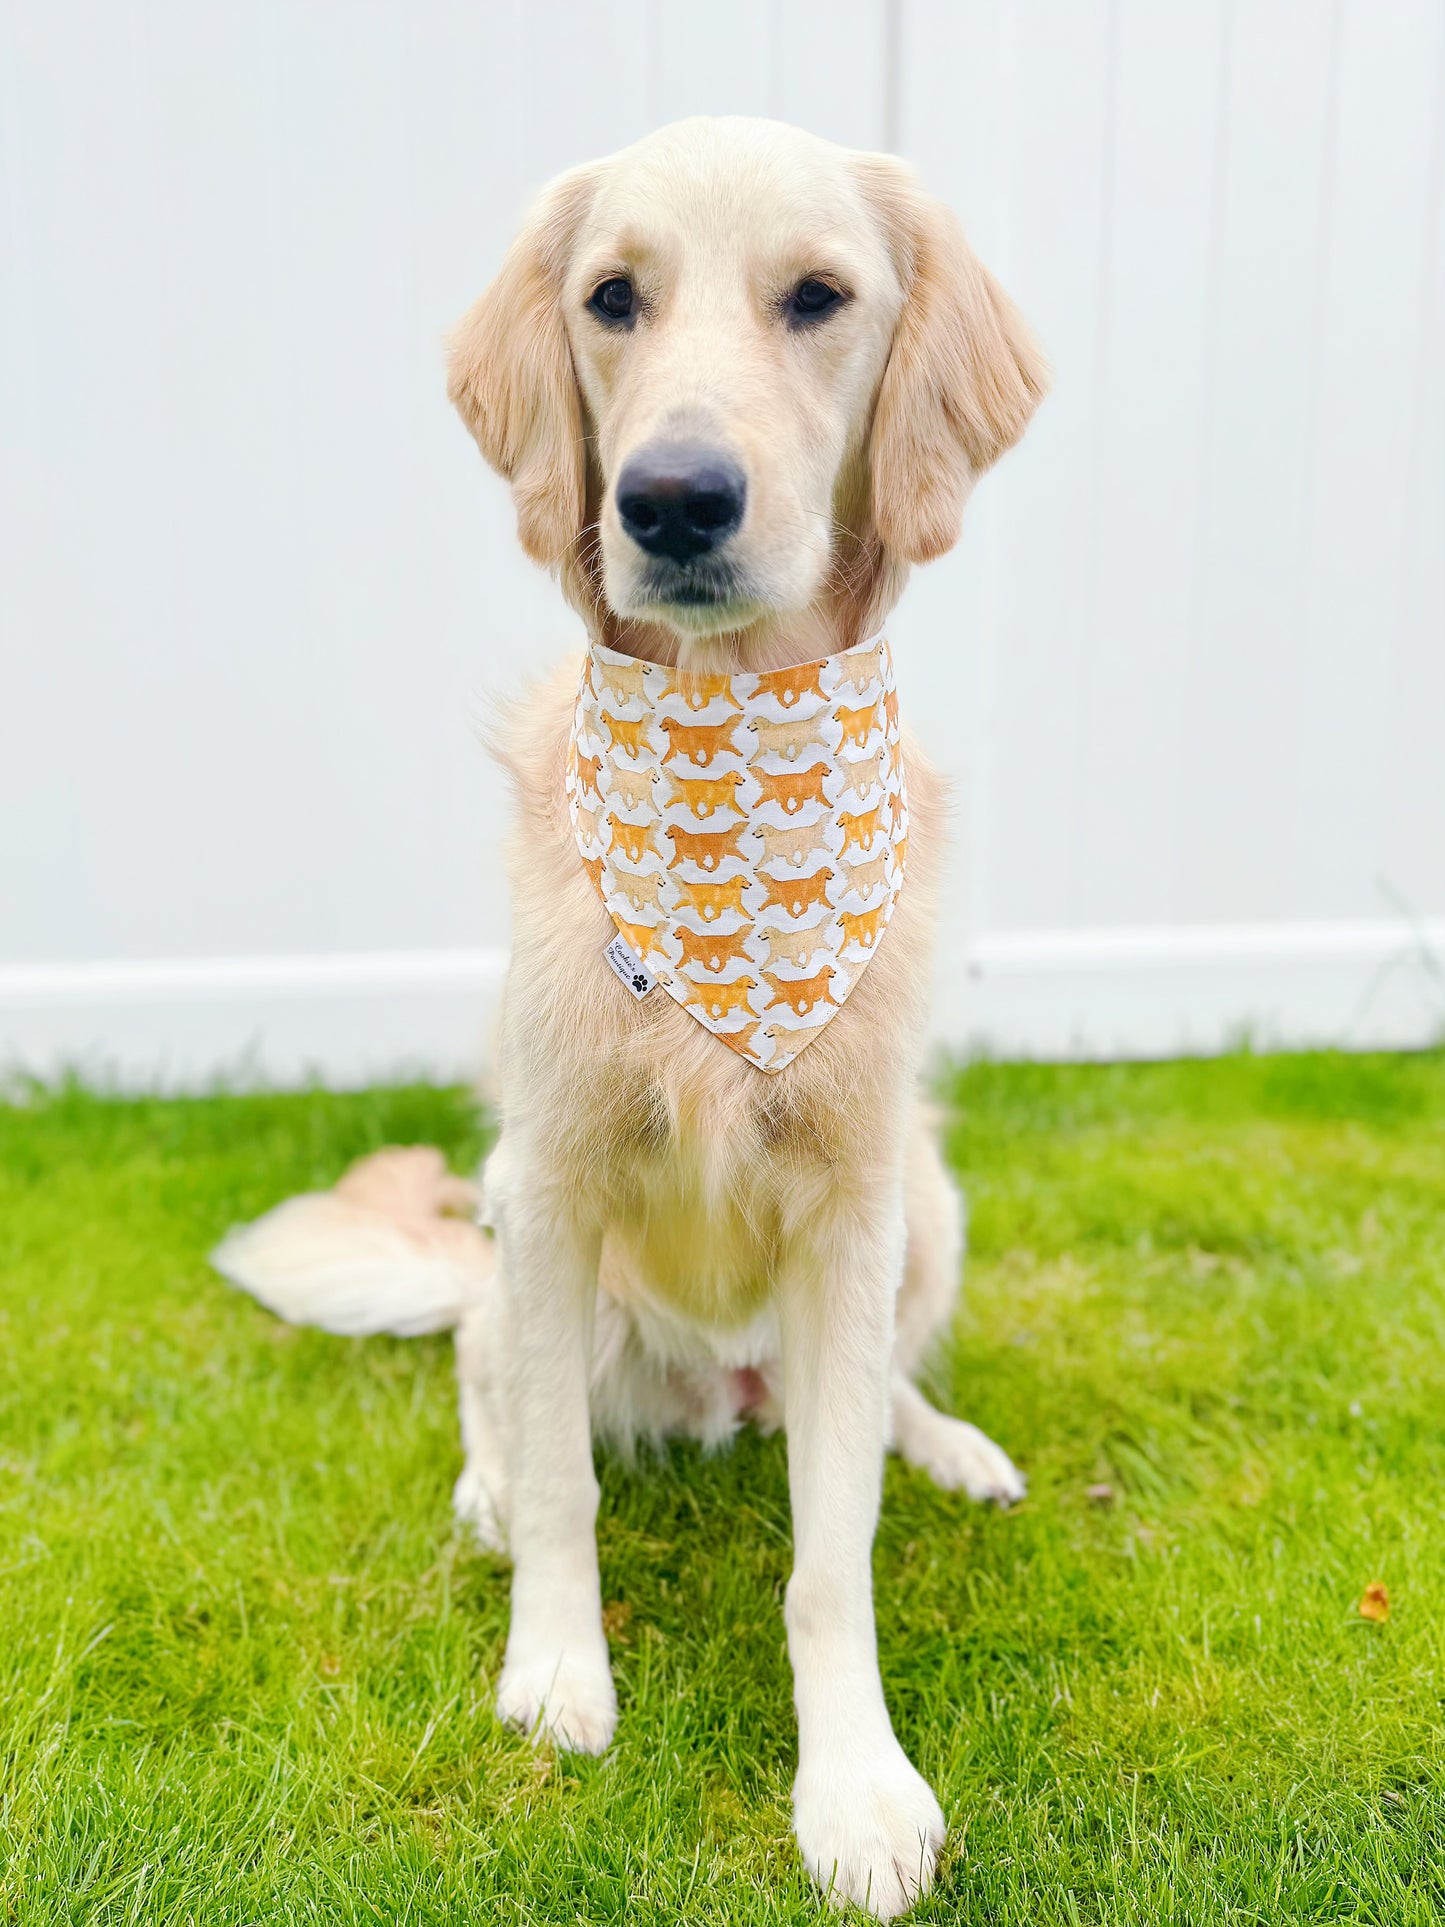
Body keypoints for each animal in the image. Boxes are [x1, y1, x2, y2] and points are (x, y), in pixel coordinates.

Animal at [214, 116, 1048, 1911]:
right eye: (612, 298)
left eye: (819, 297)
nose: (669, 498)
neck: (739, 747)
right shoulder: (556, 1173)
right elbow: (562, 1486)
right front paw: (554, 1674)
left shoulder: (855, 1199)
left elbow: (830, 1556)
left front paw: (855, 1787)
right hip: (526, 1236)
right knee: (493, 1389)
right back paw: (479, 1485)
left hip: (929, 1200)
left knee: (867, 1397)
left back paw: (941, 1441)